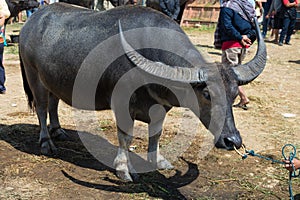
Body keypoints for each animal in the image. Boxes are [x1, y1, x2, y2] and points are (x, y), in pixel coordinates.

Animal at [19, 2, 268, 181]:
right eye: (207, 95)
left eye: (234, 94)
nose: (232, 140)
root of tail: (30, 24)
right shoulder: (121, 104)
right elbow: (125, 136)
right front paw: (124, 169)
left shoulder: (161, 107)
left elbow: (156, 134)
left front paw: (158, 161)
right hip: (34, 76)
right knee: (41, 107)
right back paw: (46, 142)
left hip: (52, 81)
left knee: (53, 104)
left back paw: (58, 131)